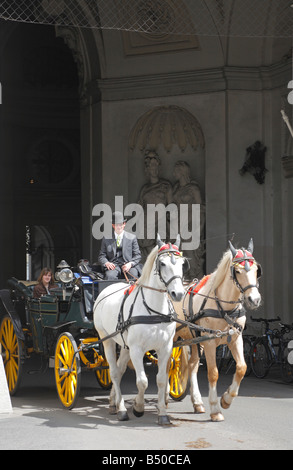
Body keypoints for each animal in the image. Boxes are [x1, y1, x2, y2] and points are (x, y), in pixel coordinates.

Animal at [93, 237, 187, 424]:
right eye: (163, 263)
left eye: (182, 263)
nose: (179, 294)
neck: (154, 310)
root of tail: (105, 290)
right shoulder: (137, 349)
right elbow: (142, 381)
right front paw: (138, 407)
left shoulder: (165, 348)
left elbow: (161, 380)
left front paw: (162, 414)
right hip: (106, 339)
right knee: (114, 373)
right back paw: (121, 409)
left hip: (124, 345)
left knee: (120, 369)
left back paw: (114, 403)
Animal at [172, 239, 262, 422]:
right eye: (237, 271)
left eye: (257, 270)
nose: (255, 300)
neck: (224, 307)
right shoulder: (209, 342)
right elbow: (213, 373)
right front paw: (215, 409)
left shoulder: (235, 338)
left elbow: (241, 368)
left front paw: (226, 399)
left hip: (194, 340)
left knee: (192, 365)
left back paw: (197, 402)